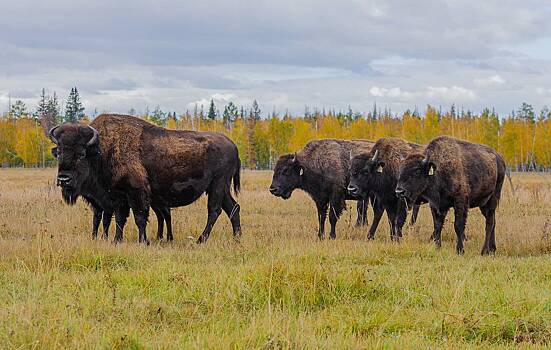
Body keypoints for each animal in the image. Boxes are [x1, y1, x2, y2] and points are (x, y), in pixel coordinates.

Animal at [50, 114, 242, 243]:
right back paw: (237, 237)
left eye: (81, 154)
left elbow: (139, 217)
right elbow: (119, 219)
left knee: (214, 210)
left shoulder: (136, 193)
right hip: (221, 187)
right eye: (59, 152)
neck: (102, 150)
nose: (63, 179)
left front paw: (143, 241)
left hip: (218, 184)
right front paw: (116, 240)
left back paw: (201, 239)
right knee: (233, 207)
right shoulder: (118, 197)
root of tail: (233, 145)